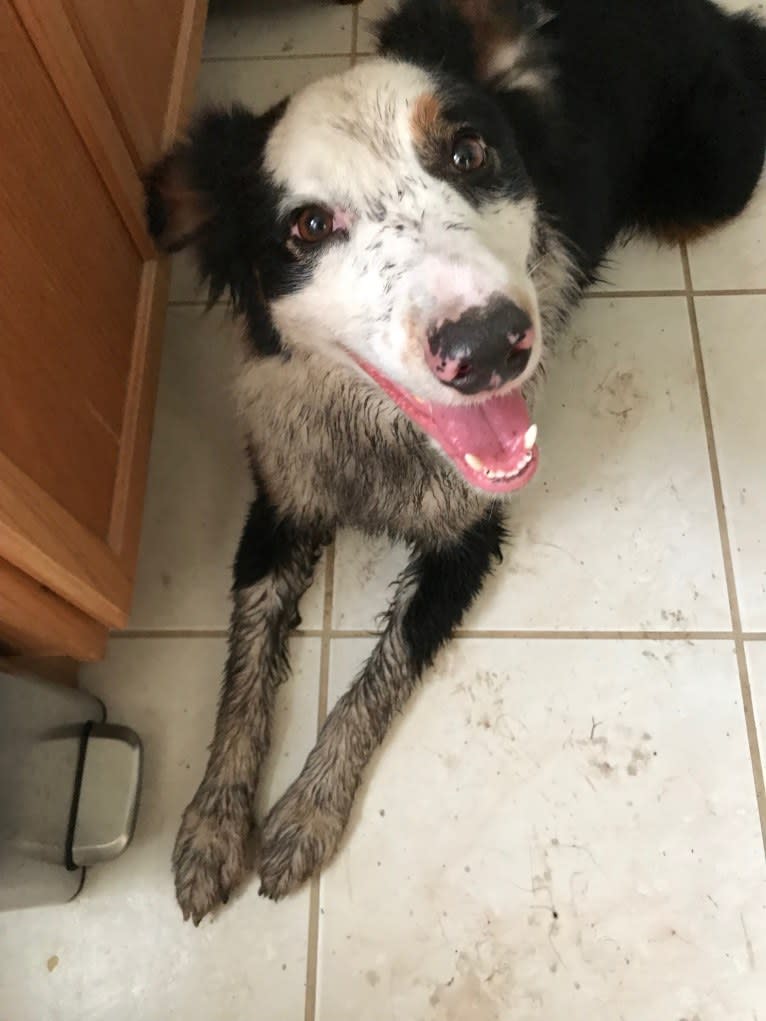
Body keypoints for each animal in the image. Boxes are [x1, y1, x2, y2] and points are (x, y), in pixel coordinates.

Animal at [145, 0, 766, 927]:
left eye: (469, 154)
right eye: (308, 226)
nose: (489, 345)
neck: (378, 429)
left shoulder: (469, 536)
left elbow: (382, 672)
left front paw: (305, 817)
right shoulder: (283, 495)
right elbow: (246, 662)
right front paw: (213, 826)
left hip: (701, 187)